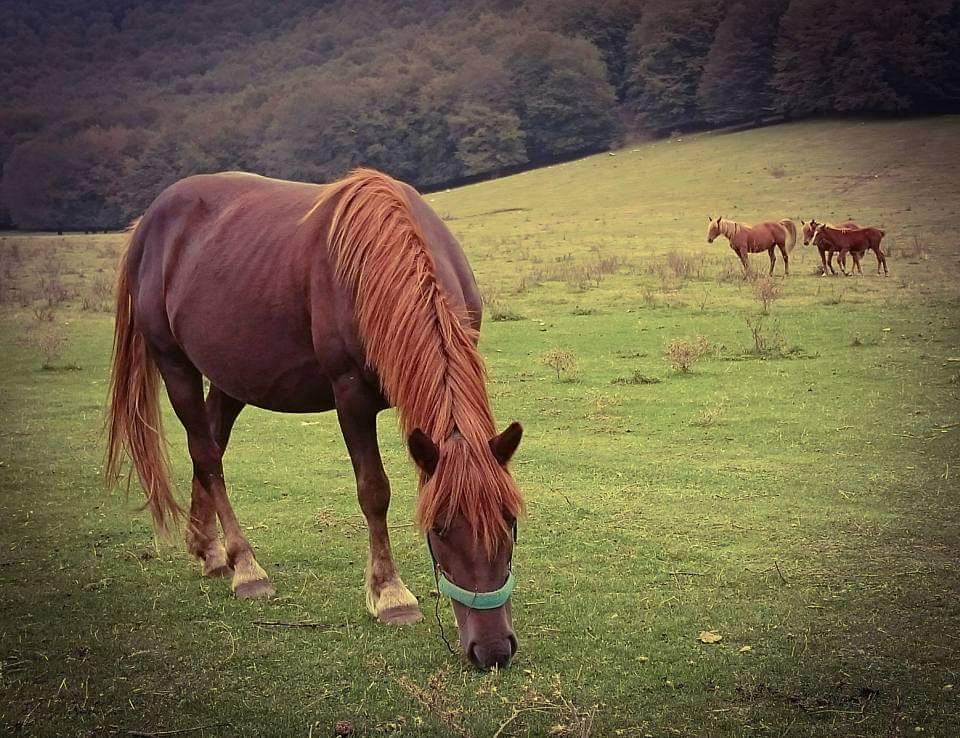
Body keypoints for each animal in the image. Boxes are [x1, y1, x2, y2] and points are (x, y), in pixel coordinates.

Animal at [105, 168, 526, 669]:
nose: (493, 650)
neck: (379, 262)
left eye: (510, 521)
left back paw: (207, 549)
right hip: (175, 365)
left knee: (211, 446)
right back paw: (245, 567)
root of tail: (148, 224)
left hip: (233, 378)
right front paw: (391, 594)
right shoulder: (351, 397)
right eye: (439, 528)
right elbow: (374, 492)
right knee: (206, 454)